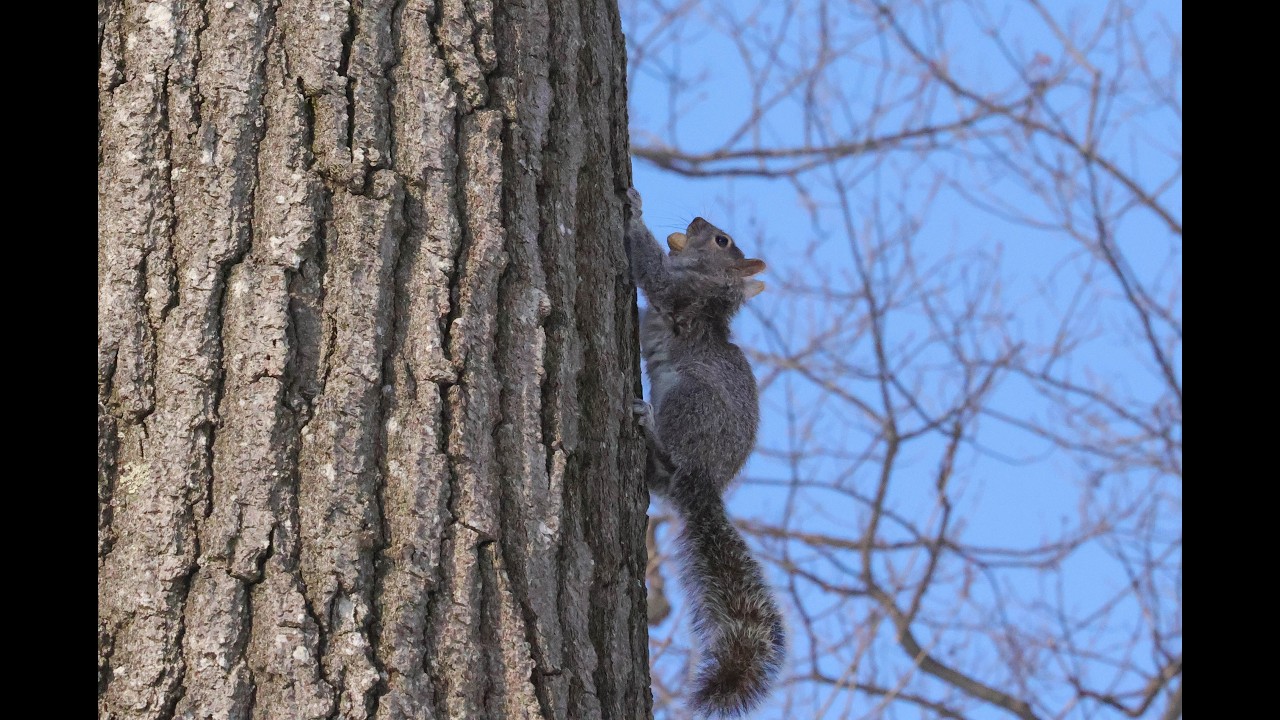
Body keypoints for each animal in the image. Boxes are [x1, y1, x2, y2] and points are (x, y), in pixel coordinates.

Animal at [625, 188, 784, 717]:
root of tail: (703, 481)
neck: (711, 284)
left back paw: (648, 421)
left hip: (690, 403)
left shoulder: (679, 294)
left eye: (721, 240)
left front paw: (633, 209)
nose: (695, 218)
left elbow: (651, 270)